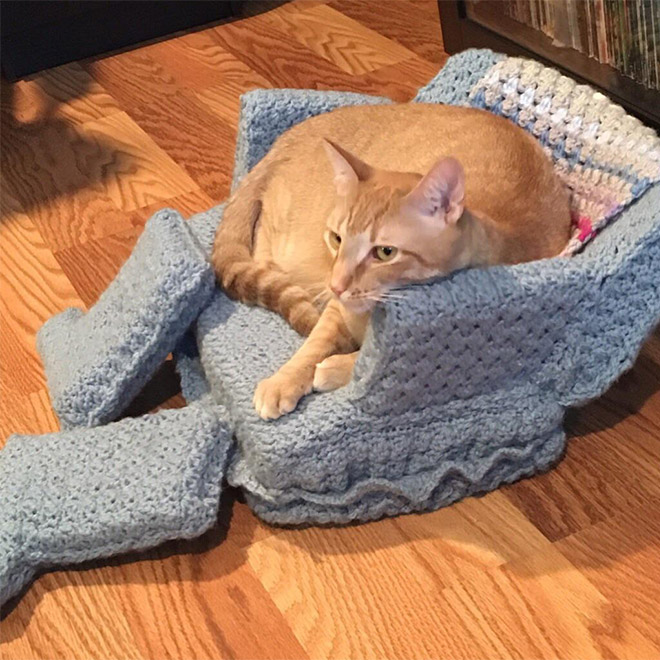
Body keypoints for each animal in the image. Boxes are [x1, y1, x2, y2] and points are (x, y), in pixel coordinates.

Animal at [213, 105, 572, 420]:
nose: (337, 284)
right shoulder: (335, 309)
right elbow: (314, 345)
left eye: (385, 252)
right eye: (337, 238)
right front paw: (284, 380)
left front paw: (334, 368)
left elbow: (364, 365)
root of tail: (283, 141)